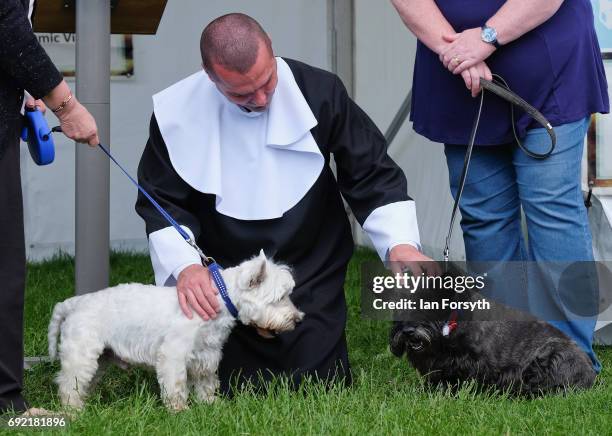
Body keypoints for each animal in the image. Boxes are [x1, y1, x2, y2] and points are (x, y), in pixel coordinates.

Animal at [47, 250, 304, 410]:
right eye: (280, 297)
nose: (298, 319)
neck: (221, 298)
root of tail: (73, 303)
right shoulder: (174, 353)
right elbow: (176, 384)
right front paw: (179, 410)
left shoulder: (207, 354)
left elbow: (206, 381)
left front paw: (211, 404)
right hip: (82, 353)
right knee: (68, 382)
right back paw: (74, 410)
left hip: (102, 358)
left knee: (82, 383)